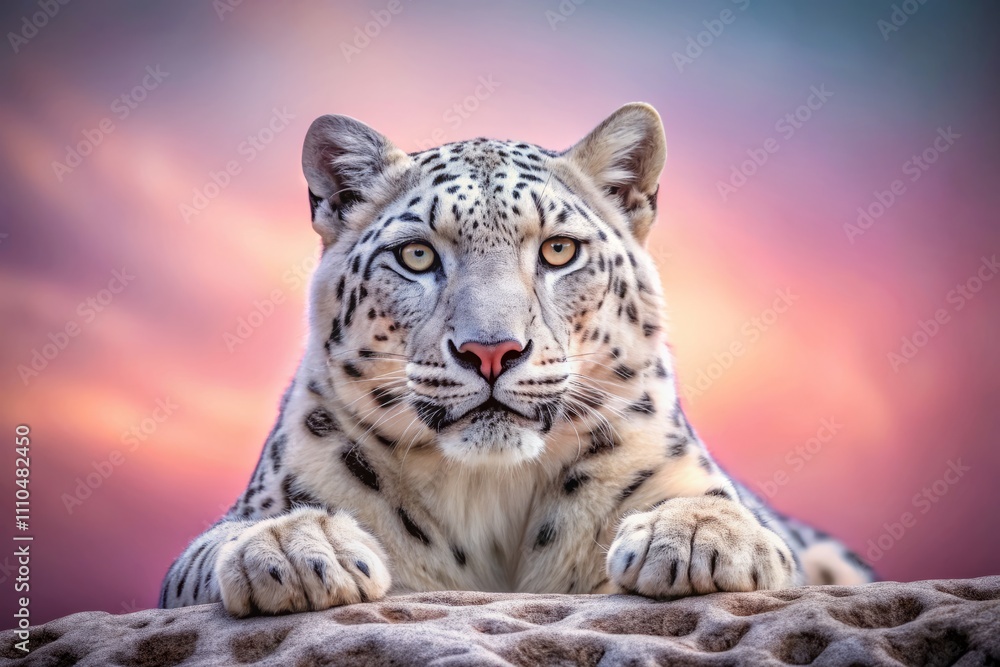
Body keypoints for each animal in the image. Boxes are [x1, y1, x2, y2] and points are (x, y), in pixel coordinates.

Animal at [161, 103, 874, 616]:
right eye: (416, 254)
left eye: (559, 250)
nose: (491, 350)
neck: (490, 495)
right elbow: (216, 543)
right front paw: (293, 545)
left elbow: (746, 524)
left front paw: (696, 536)